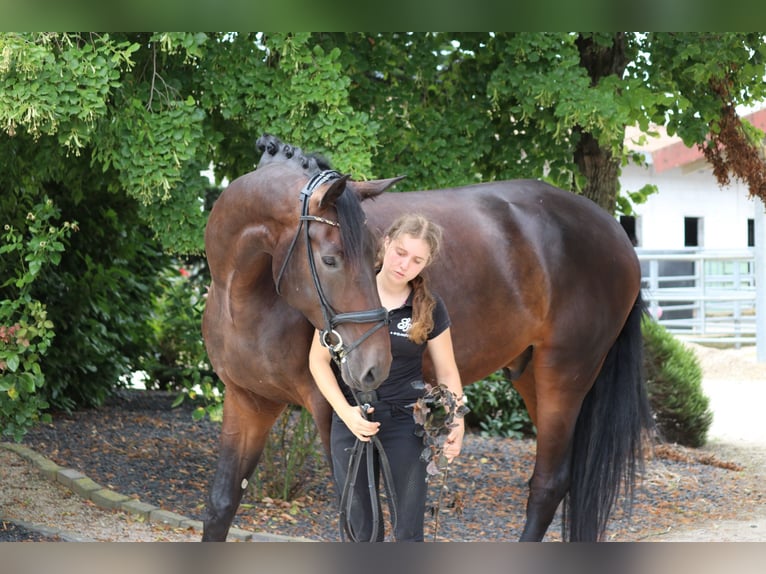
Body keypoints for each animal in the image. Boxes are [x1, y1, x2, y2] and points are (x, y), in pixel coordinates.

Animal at [200, 135, 656, 544]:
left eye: (374, 254)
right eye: (330, 260)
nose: (374, 367)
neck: (243, 297)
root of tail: (616, 234)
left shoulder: (334, 414)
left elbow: (363, 525)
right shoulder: (248, 401)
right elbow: (220, 506)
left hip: (565, 373)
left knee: (548, 484)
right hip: (529, 375)